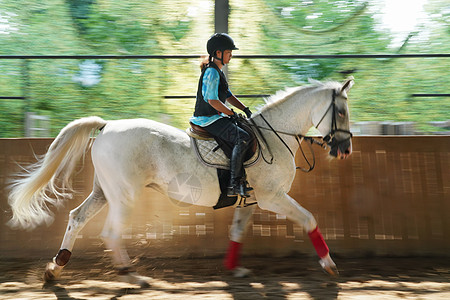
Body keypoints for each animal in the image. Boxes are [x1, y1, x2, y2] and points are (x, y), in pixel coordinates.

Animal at [5, 77, 354, 284]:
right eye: (341, 112)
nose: (346, 149)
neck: (273, 137)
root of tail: (107, 126)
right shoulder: (273, 197)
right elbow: (309, 219)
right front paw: (329, 264)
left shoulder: (251, 200)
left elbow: (237, 231)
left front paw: (234, 269)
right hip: (124, 196)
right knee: (110, 232)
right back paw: (130, 274)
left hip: (104, 191)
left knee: (77, 218)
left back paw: (55, 267)